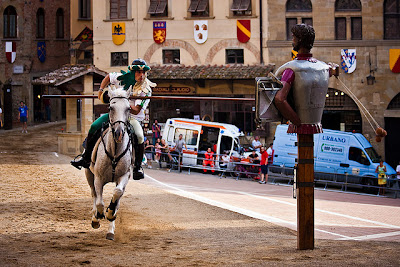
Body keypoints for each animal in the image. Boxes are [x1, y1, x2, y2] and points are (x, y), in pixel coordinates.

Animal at [85, 85, 134, 241]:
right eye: (110, 107)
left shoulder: (124, 176)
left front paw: (111, 213)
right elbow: (99, 201)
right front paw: (97, 217)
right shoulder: (98, 178)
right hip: (88, 173)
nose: (119, 133)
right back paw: (95, 215)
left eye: (128, 108)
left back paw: (110, 230)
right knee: (94, 195)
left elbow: (117, 194)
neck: (114, 152)